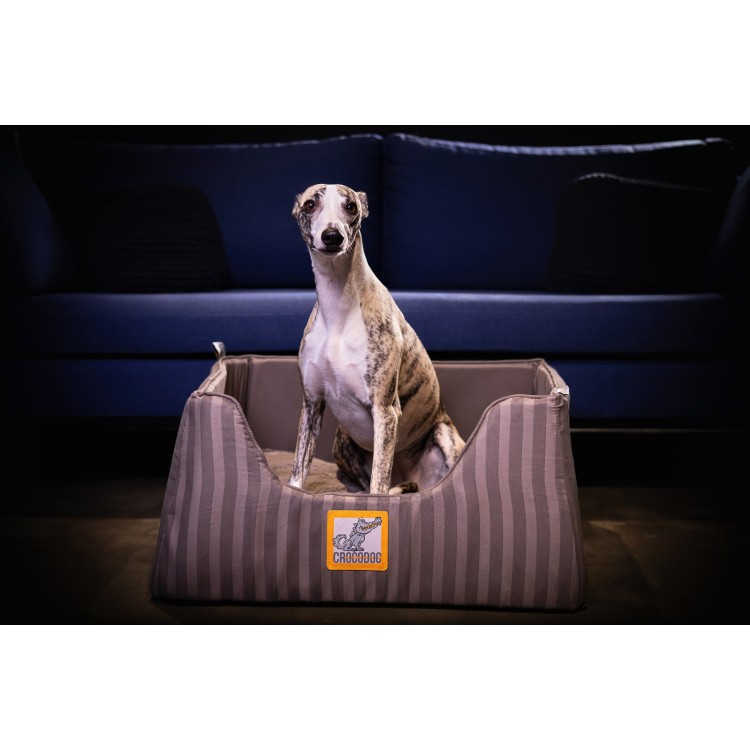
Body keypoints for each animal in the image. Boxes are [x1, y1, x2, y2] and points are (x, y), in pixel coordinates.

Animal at [288, 183, 464, 495]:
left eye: (351, 206)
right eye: (310, 205)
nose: (332, 237)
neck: (339, 306)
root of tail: (414, 477)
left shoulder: (385, 411)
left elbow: (378, 486)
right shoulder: (312, 403)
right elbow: (298, 471)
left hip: (445, 435)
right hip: (341, 440)